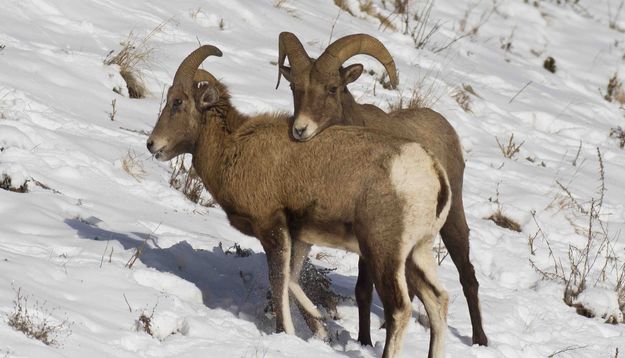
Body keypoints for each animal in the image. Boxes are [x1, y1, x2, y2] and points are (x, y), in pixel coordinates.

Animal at [147, 45, 450, 358]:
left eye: (178, 102)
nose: (152, 144)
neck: (234, 147)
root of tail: (432, 171)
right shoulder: (301, 237)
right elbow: (292, 279)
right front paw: (320, 327)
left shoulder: (272, 227)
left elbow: (278, 280)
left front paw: (287, 332)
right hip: (417, 254)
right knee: (438, 301)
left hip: (384, 254)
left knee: (400, 309)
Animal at [278, 32, 488, 346]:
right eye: (294, 86)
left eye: (332, 88)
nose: (300, 129)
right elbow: (363, 292)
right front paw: (365, 339)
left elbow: (366, 289)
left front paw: (365, 342)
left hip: (452, 223)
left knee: (467, 276)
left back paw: (479, 339)